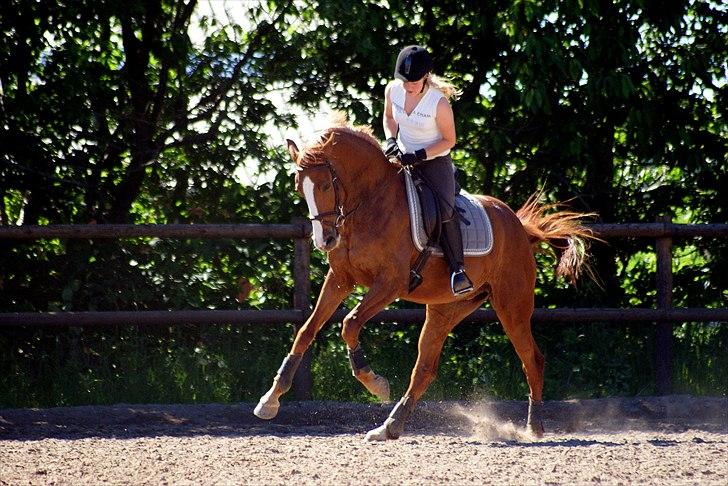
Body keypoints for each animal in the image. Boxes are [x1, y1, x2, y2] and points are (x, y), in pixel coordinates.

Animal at [253, 120, 596, 440]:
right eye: (300, 188)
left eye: (325, 185)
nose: (325, 240)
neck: (370, 203)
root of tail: (519, 226)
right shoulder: (341, 279)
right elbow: (307, 330)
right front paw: (270, 399)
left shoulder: (389, 284)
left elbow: (349, 324)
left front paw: (374, 382)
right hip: (446, 309)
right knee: (425, 370)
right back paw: (389, 426)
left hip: (512, 306)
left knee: (532, 359)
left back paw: (534, 425)